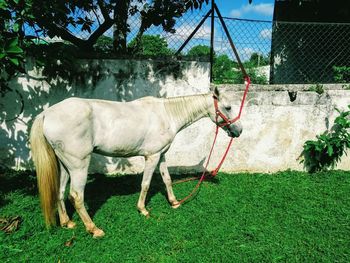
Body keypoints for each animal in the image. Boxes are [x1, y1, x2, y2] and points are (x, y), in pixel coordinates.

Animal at [29, 88, 241, 239]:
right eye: (228, 107)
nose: (238, 131)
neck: (167, 114)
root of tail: (47, 113)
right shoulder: (152, 156)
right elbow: (146, 183)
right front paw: (143, 210)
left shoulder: (161, 155)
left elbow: (167, 179)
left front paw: (174, 202)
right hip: (79, 165)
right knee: (76, 196)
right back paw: (94, 229)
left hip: (65, 165)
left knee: (60, 191)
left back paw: (67, 223)